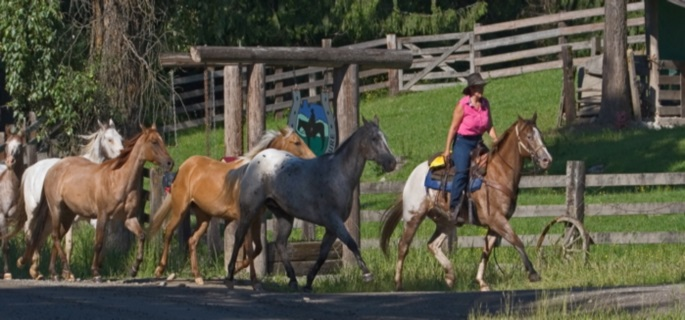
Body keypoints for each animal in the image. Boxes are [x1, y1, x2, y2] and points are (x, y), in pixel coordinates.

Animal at [7, 119, 123, 278]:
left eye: (121, 138)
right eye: (109, 139)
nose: (123, 155)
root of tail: (30, 169)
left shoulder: (92, 218)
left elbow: (101, 241)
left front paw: (97, 266)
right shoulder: (71, 219)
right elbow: (69, 244)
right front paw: (67, 273)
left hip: (49, 217)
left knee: (40, 236)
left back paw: (36, 269)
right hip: (33, 212)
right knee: (30, 233)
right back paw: (32, 267)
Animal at [20, 124, 174, 282]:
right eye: (154, 142)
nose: (170, 163)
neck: (118, 179)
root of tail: (50, 170)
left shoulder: (128, 219)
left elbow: (141, 236)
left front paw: (133, 269)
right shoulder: (102, 216)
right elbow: (98, 243)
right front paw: (95, 272)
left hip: (68, 216)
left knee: (54, 237)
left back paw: (53, 273)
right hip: (55, 210)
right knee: (53, 236)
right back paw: (64, 270)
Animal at [150, 126, 316, 286]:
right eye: (296, 142)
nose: (313, 159)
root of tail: (184, 166)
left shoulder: (256, 219)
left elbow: (257, 248)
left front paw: (235, 271)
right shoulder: (245, 218)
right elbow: (248, 248)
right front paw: (251, 279)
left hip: (204, 217)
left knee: (192, 240)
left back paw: (197, 276)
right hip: (180, 209)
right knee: (168, 231)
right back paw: (159, 270)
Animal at [224, 116, 396, 292]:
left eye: (385, 138)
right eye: (374, 138)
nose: (392, 163)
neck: (337, 175)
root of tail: (253, 162)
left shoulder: (331, 228)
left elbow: (323, 254)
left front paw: (308, 282)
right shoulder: (334, 221)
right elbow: (351, 243)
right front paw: (367, 274)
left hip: (284, 216)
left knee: (280, 244)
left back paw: (293, 280)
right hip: (249, 210)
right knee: (239, 236)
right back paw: (229, 276)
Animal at [376, 114, 552, 292]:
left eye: (540, 135)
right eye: (529, 136)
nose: (547, 159)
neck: (498, 174)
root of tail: (413, 176)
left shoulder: (495, 224)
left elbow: (487, 250)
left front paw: (481, 282)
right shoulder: (497, 220)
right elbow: (517, 241)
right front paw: (533, 273)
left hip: (446, 221)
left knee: (433, 245)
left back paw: (450, 276)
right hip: (414, 217)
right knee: (403, 246)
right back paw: (398, 284)